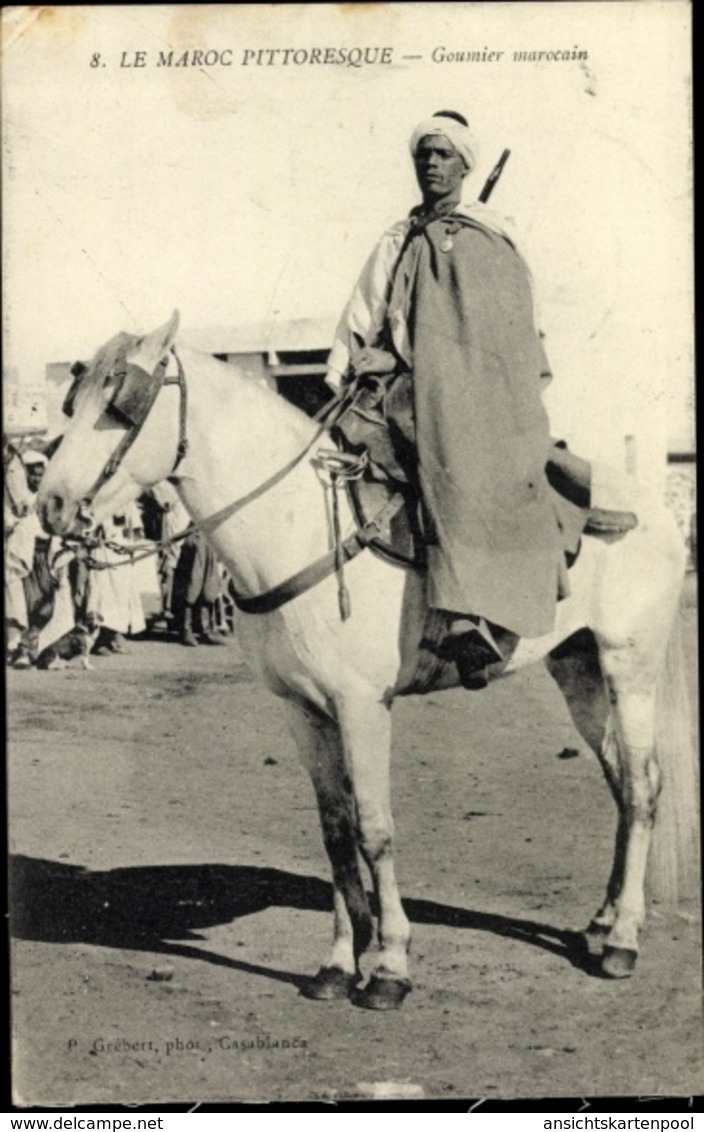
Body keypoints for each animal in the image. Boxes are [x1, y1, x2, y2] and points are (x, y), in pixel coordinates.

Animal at [37, 314, 701, 1014]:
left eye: (120, 405)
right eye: (72, 401)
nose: (49, 503)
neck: (295, 527)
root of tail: (653, 505)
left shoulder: (362, 707)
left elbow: (374, 828)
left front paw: (389, 966)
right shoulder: (304, 711)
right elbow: (335, 830)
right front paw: (338, 962)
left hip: (629, 666)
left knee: (642, 785)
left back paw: (623, 941)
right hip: (578, 669)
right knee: (619, 781)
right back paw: (602, 921)